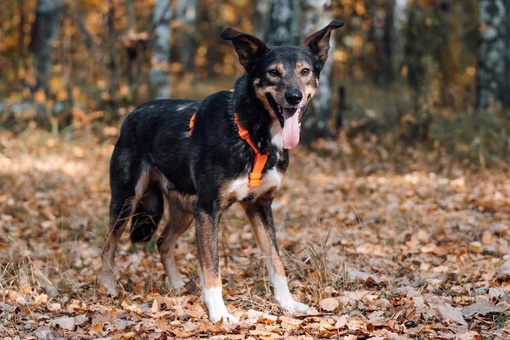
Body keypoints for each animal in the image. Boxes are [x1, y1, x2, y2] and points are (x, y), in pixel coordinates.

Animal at [100, 19, 342, 322]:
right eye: (273, 72)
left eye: (305, 71)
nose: (293, 97)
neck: (251, 133)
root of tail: (132, 114)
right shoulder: (208, 209)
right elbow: (212, 267)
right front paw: (219, 314)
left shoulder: (259, 206)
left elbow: (276, 260)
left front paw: (286, 303)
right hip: (127, 200)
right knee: (108, 247)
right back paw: (108, 287)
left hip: (184, 212)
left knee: (163, 242)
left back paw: (176, 284)